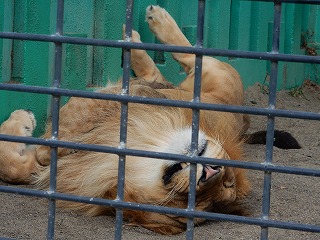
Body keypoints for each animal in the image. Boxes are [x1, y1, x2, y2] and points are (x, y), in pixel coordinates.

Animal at [0, 5, 300, 234]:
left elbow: (26, 162)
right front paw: (26, 123)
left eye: (189, 200)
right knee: (188, 56)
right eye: (226, 179)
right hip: (219, 76)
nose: (210, 173)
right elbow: (27, 157)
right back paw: (150, 23)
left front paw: (25, 124)